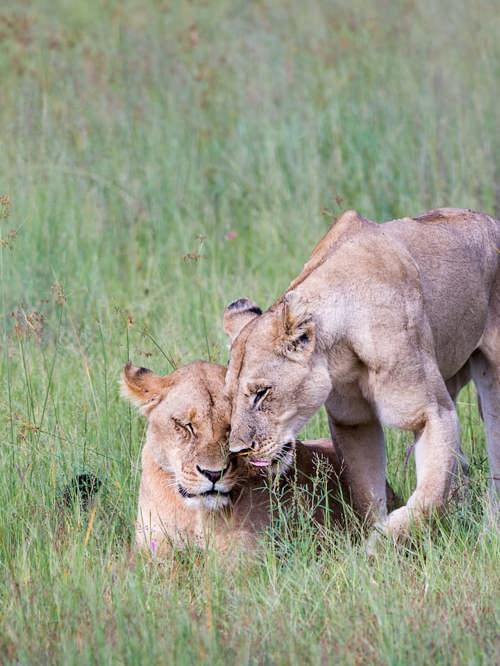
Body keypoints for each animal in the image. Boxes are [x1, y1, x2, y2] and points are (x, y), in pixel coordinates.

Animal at [223, 208, 499, 547]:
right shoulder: (353, 421)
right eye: (230, 398)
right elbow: (367, 495)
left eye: (262, 392)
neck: (340, 349)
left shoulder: (430, 412)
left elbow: (429, 495)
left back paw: (488, 533)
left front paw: (380, 544)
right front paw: (375, 541)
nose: (238, 451)